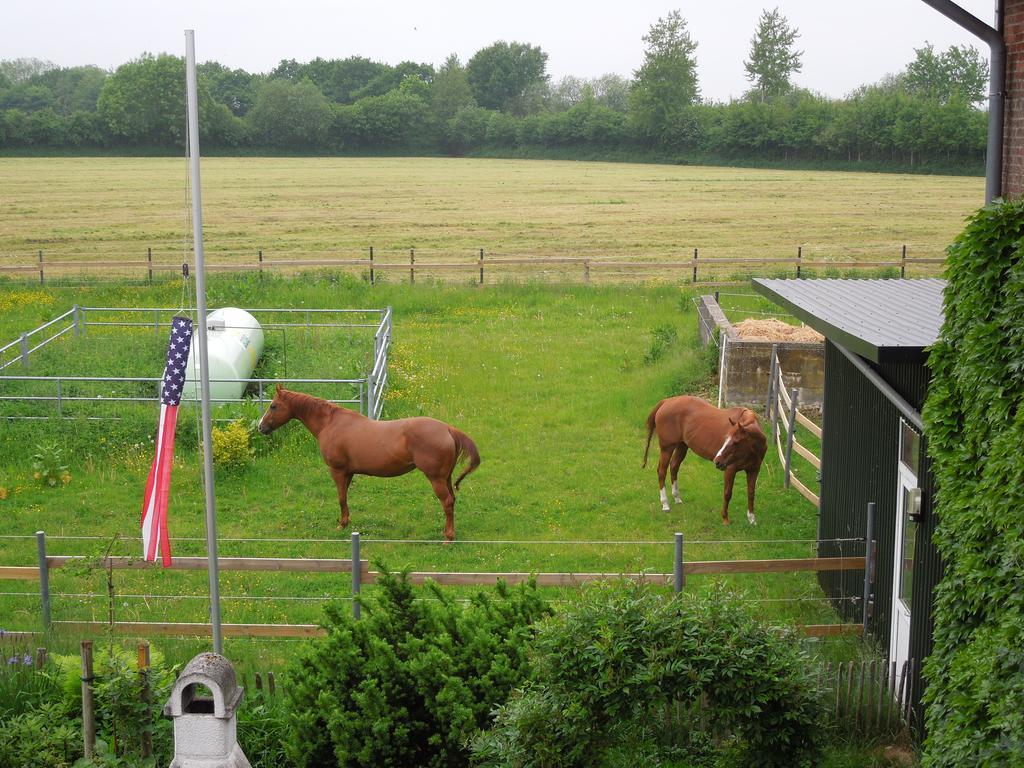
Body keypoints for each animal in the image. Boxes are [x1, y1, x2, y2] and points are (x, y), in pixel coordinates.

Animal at [256, 385, 479, 540]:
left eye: (273, 406)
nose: (261, 427)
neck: (330, 423)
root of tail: (448, 429)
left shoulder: (337, 471)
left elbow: (341, 498)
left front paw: (342, 524)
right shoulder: (349, 472)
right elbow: (344, 498)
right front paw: (346, 521)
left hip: (436, 479)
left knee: (447, 502)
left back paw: (449, 537)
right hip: (446, 478)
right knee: (451, 501)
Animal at [643, 399, 765, 528]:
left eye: (736, 442)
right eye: (725, 439)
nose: (717, 461)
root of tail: (667, 401)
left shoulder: (754, 470)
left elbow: (751, 493)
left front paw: (752, 519)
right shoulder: (730, 469)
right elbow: (727, 493)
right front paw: (725, 519)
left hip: (682, 446)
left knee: (674, 467)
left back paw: (677, 498)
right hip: (667, 448)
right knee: (662, 471)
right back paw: (665, 504)